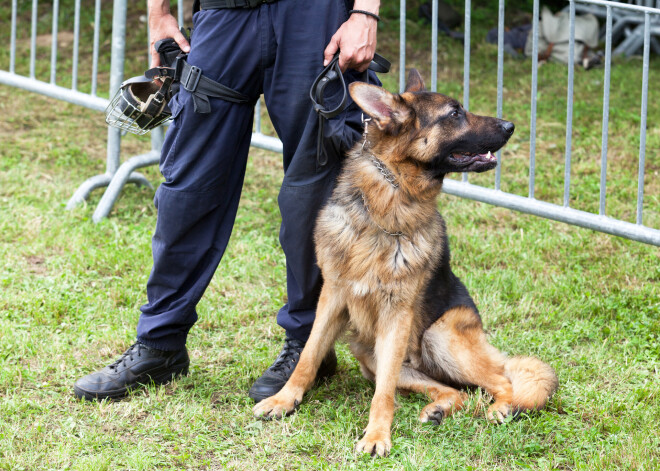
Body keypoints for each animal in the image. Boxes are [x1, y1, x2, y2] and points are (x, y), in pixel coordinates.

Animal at [253, 70, 556, 458]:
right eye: (454, 113)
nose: (511, 125)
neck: (390, 203)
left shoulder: (397, 315)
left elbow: (383, 394)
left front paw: (376, 435)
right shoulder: (332, 297)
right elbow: (307, 356)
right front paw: (284, 399)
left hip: (437, 336)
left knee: (502, 380)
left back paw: (502, 407)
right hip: (371, 353)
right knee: (453, 391)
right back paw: (438, 409)